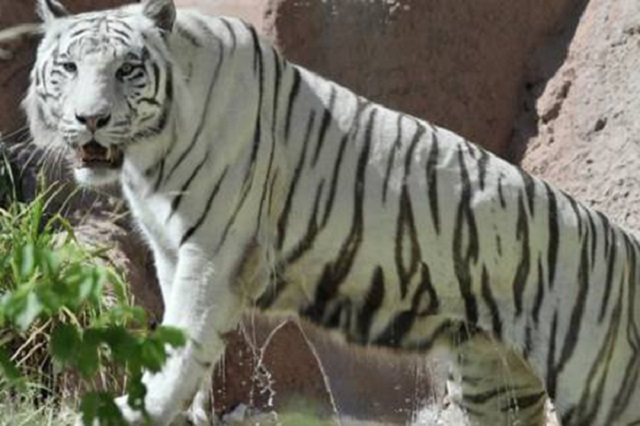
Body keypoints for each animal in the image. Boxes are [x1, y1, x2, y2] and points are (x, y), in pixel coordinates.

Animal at [23, 0, 640, 425]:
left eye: (127, 69)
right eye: (68, 67)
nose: (91, 119)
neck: (149, 155)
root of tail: (626, 246)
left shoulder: (213, 252)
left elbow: (183, 346)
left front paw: (137, 410)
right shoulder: (169, 250)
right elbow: (179, 346)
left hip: (600, 384)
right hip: (495, 381)